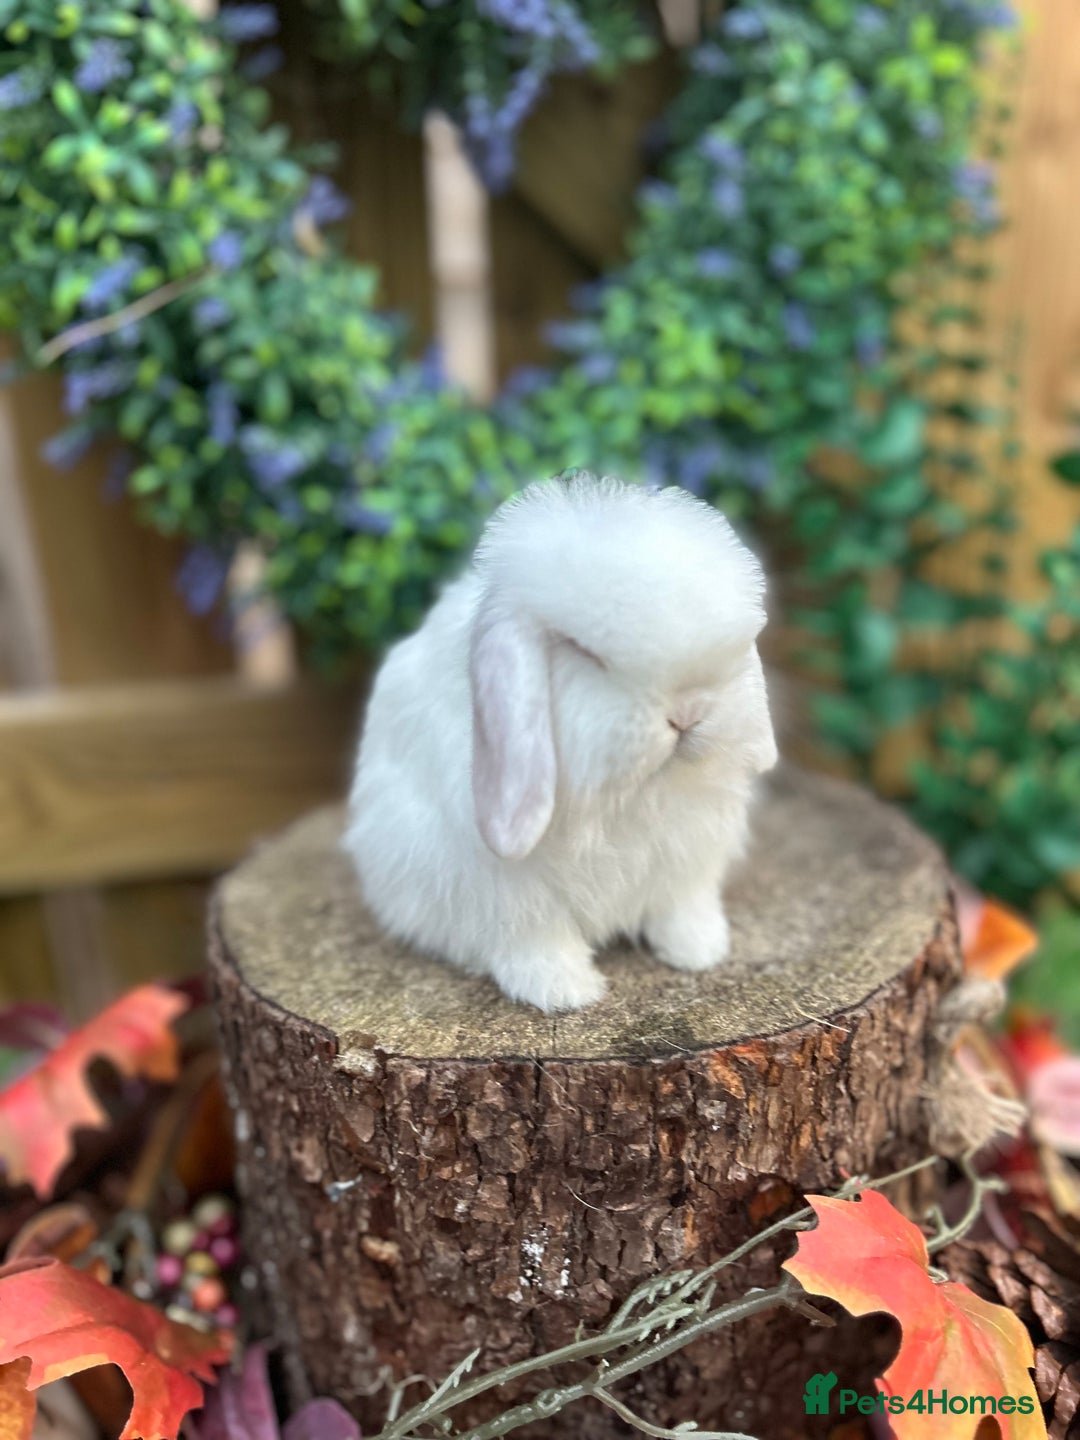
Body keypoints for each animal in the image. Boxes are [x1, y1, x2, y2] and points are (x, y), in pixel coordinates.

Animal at [344, 471, 778, 1014]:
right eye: (582, 651)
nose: (689, 713)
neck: (630, 798)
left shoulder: (686, 860)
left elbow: (682, 907)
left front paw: (701, 952)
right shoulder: (510, 891)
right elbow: (536, 940)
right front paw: (567, 992)